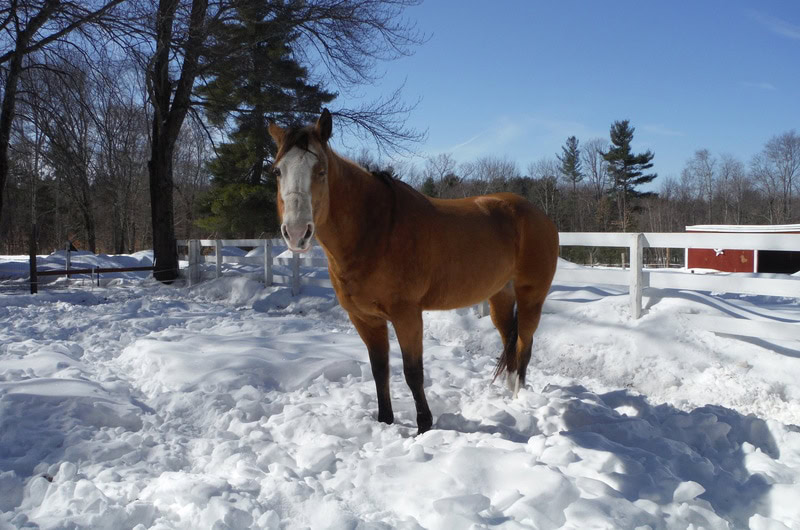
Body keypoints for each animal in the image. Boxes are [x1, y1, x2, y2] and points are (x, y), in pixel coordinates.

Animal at [269, 109, 559, 434]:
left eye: (321, 170)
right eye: (277, 171)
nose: (296, 232)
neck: (376, 230)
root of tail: (538, 215)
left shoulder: (407, 315)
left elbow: (412, 372)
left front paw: (424, 426)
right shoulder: (365, 319)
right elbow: (379, 370)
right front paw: (385, 420)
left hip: (532, 296)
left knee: (524, 344)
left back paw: (519, 398)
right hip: (500, 297)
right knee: (510, 340)